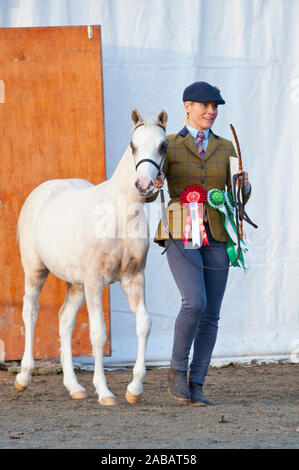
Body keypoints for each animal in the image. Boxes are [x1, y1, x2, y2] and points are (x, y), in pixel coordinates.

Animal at [14, 108, 169, 406]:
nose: (145, 185)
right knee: (31, 312)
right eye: (132, 145)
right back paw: (24, 377)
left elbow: (144, 324)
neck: (119, 216)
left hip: (76, 284)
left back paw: (74, 386)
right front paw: (105, 392)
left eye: (163, 145)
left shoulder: (133, 278)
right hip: (35, 270)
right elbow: (98, 333)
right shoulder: (96, 281)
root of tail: (43, 191)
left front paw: (134, 389)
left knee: (64, 320)